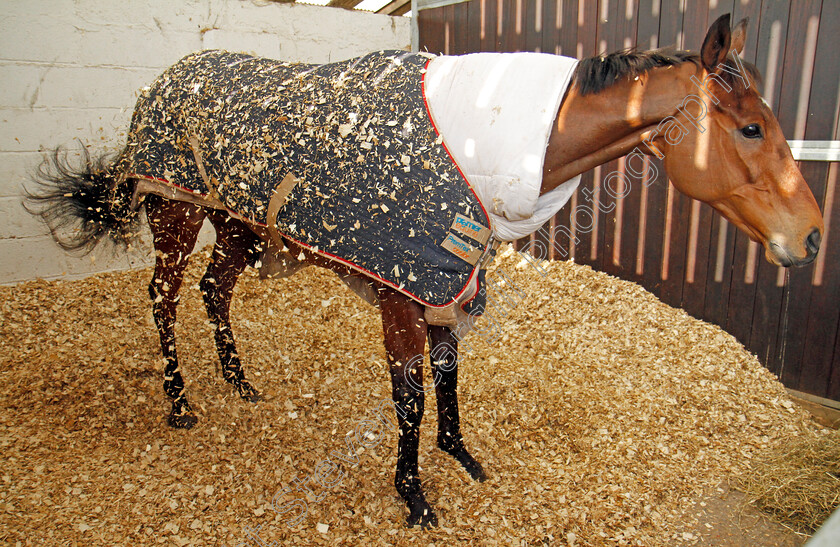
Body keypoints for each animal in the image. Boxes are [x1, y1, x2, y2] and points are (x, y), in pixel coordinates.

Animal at [26, 15, 828, 528]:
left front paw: (462, 457)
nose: (812, 237)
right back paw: (181, 403)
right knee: (163, 297)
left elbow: (449, 378)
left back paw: (240, 383)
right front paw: (413, 497)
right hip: (175, 214)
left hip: (239, 227)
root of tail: (164, 80)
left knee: (212, 291)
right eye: (750, 126)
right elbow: (409, 396)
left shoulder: (454, 285)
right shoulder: (402, 294)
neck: (479, 136)